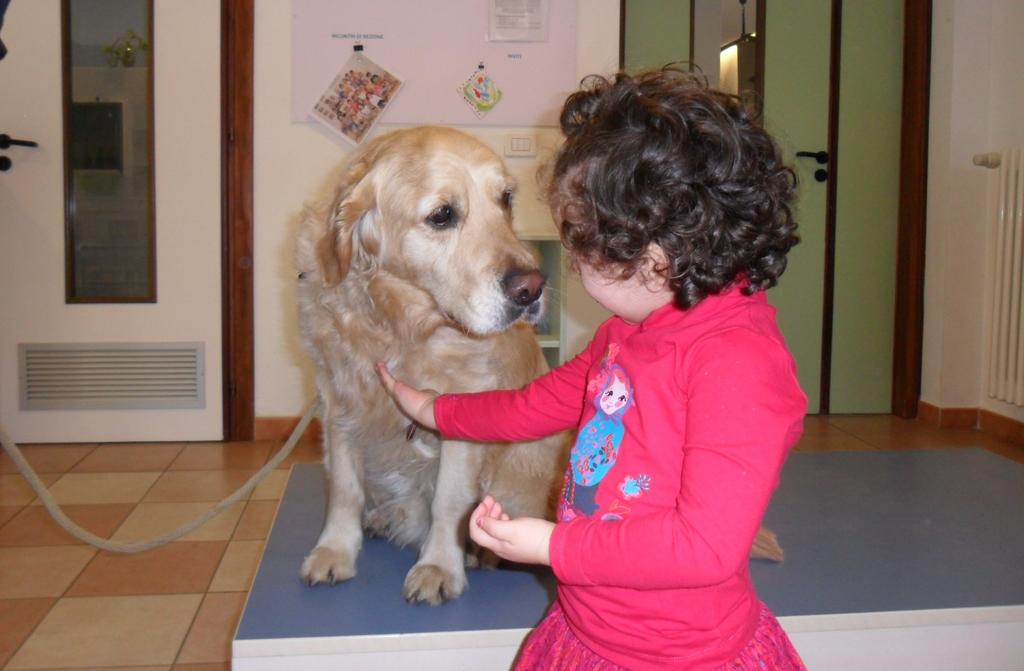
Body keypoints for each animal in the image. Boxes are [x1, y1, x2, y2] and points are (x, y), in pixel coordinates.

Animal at [296, 126, 565, 602]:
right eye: (442, 215)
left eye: (505, 199)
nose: (531, 288)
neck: (400, 324)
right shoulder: (338, 402)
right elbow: (344, 487)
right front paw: (334, 551)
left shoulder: (462, 413)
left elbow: (449, 501)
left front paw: (439, 566)